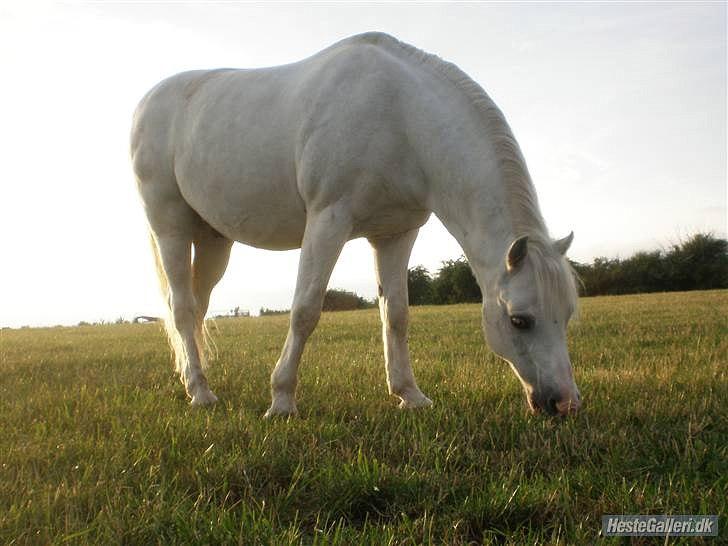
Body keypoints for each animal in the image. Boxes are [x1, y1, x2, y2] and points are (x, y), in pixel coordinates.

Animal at [130, 32, 581, 418]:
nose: (564, 403)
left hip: (214, 240)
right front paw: (281, 401)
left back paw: (193, 381)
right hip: (170, 227)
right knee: (182, 307)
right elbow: (305, 310)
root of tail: (147, 101)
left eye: (568, 314)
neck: (400, 116)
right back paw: (201, 394)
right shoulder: (328, 221)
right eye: (519, 320)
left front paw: (409, 394)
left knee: (197, 305)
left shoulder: (396, 234)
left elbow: (396, 314)